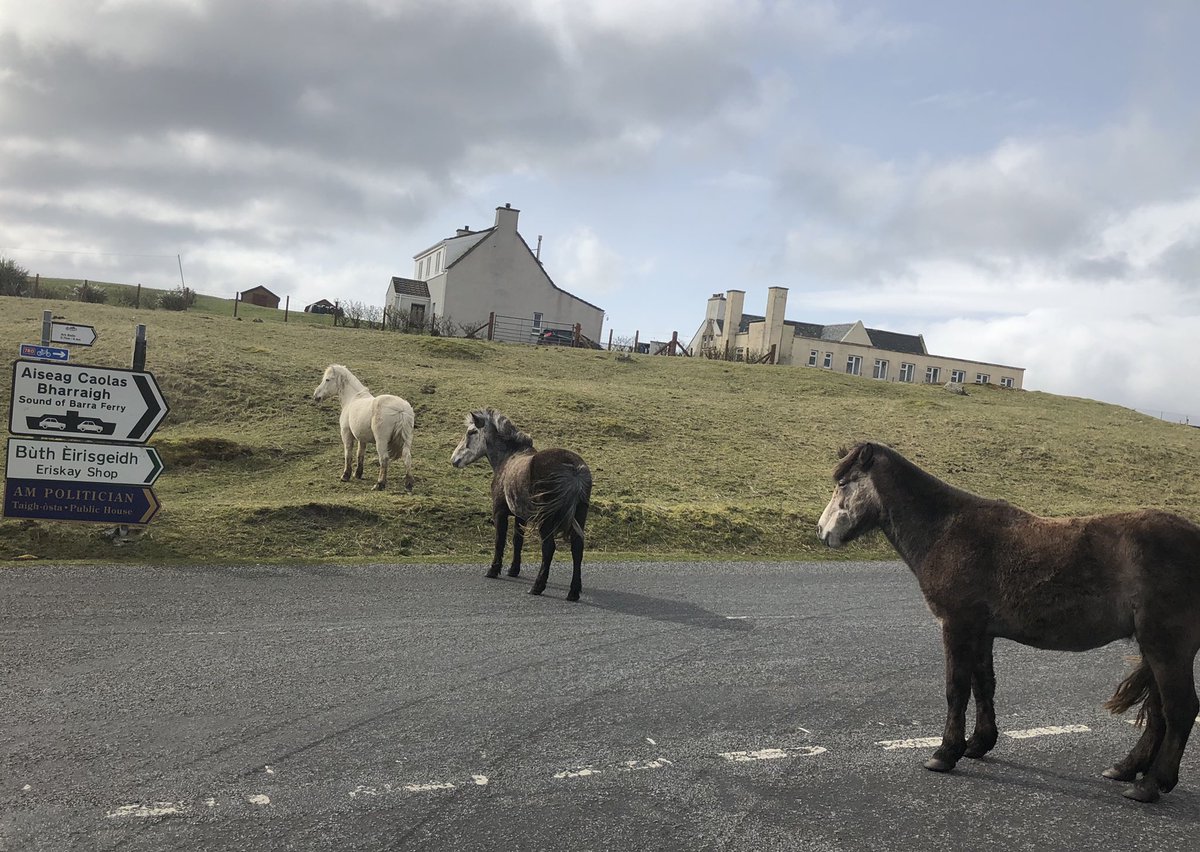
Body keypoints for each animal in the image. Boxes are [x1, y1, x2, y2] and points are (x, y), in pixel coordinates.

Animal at [312, 364, 415, 494]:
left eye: (327, 380)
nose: (316, 396)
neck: (352, 399)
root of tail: (401, 409)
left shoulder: (346, 434)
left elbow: (348, 453)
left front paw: (345, 476)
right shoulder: (362, 438)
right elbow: (360, 454)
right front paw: (358, 474)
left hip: (381, 441)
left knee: (384, 459)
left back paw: (379, 484)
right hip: (406, 440)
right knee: (407, 457)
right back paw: (408, 485)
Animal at [451, 412, 590, 600]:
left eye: (471, 432)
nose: (454, 459)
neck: (508, 457)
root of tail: (573, 470)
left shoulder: (499, 512)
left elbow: (500, 540)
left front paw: (493, 570)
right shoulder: (520, 515)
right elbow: (518, 540)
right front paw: (513, 570)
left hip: (546, 520)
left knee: (549, 548)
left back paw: (537, 587)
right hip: (579, 515)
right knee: (577, 548)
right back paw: (573, 592)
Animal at [816, 444, 1200, 806]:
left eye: (843, 483)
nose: (822, 531)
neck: (946, 531)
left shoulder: (956, 626)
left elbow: (956, 689)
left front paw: (945, 753)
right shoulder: (980, 632)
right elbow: (983, 685)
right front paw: (978, 743)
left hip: (1168, 647)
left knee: (1180, 711)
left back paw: (1151, 785)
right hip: (1154, 647)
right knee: (1158, 711)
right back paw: (1127, 768)